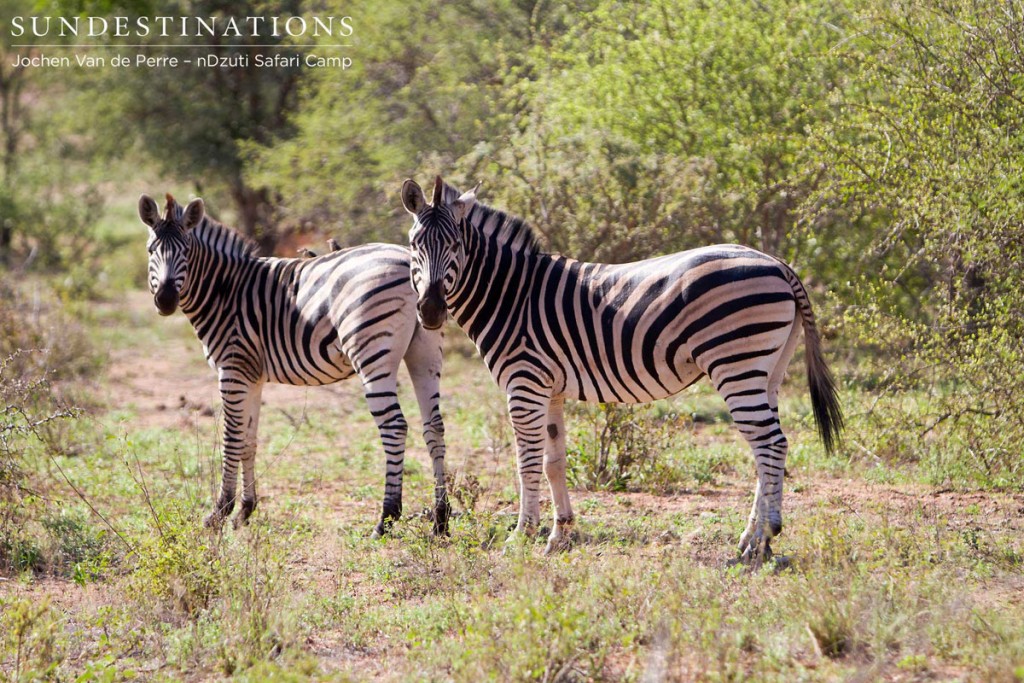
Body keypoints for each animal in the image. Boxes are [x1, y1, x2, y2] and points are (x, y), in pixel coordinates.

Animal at [138, 193, 450, 540]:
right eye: (151, 251)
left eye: (186, 252)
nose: (165, 300)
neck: (225, 290)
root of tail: (407, 259)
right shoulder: (252, 375)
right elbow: (249, 439)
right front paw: (245, 510)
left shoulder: (232, 369)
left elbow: (231, 439)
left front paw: (219, 512)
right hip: (425, 351)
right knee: (434, 426)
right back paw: (440, 519)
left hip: (371, 354)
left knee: (394, 426)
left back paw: (385, 519)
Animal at [399, 178, 839, 565]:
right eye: (414, 244)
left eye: (456, 245)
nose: (431, 311)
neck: (510, 295)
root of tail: (778, 264)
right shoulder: (550, 388)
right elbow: (554, 461)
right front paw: (560, 536)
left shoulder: (524, 383)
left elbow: (527, 462)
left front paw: (522, 536)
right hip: (768, 371)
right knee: (769, 448)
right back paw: (753, 541)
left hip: (737, 365)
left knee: (770, 444)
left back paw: (762, 539)